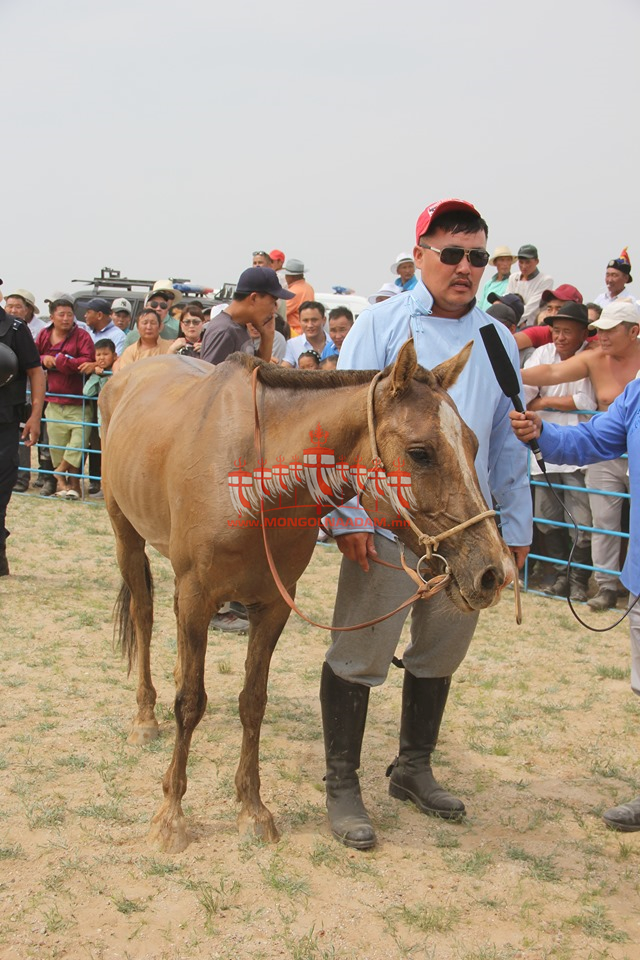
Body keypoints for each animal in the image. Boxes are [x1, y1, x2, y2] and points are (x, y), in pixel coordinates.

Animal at [99, 342, 510, 852]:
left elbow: (253, 702)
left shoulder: (273, 606)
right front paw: (171, 815)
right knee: (144, 616)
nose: (494, 572)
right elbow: (190, 702)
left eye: (474, 445)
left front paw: (252, 809)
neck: (253, 478)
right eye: (421, 453)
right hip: (127, 539)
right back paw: (144, 718)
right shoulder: (195, 596)